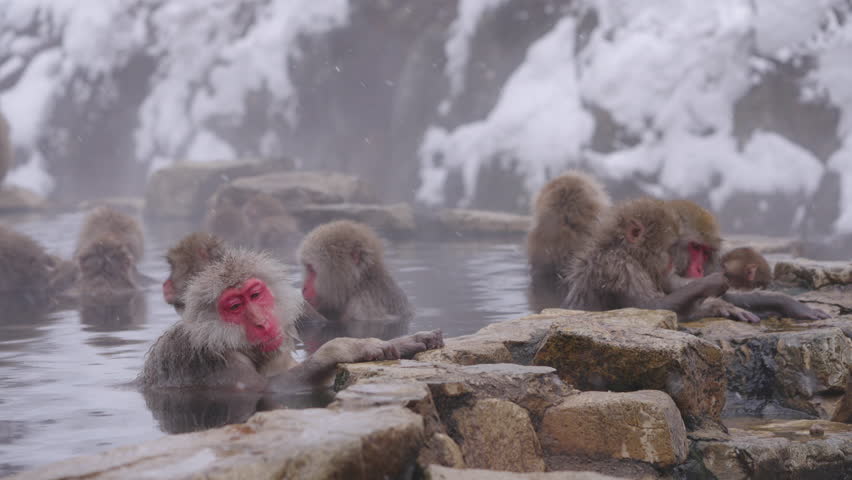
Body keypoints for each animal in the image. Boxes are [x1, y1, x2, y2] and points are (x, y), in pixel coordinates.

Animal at [138, 248, 443, 390]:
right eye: (235, 306)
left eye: (255, 294)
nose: (261, 322)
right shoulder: (213, 362)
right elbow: (269, 390)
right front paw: (343, 348)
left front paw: (405, 341)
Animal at [560, 197, 730, 321]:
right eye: (695, 247)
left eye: (706, 252)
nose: (699, 269)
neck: (631, 254)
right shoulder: (619, 269)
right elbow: (649, 308)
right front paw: (710, 284)